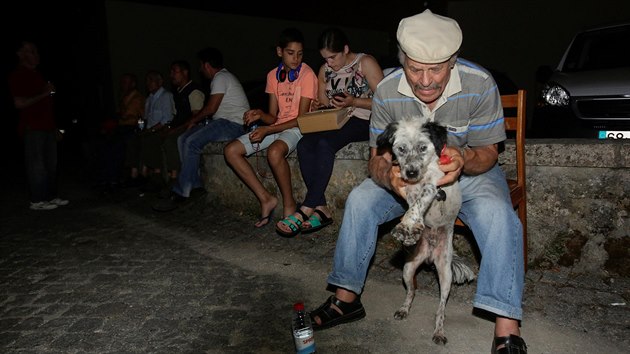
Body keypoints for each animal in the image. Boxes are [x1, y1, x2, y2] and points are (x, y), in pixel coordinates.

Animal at [378, 117, 476, 344]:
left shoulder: (433, 185)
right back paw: (404, 309)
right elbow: (413, 204)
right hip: (408, 268)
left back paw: (439, 331)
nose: (411, 172)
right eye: (401, 149)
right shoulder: (407, 189)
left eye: (423, 147)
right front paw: (411, 228)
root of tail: (430, 254)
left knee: (441, 309)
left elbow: (421, 200)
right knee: (411, 291)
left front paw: (407, 226)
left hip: (445, 275)